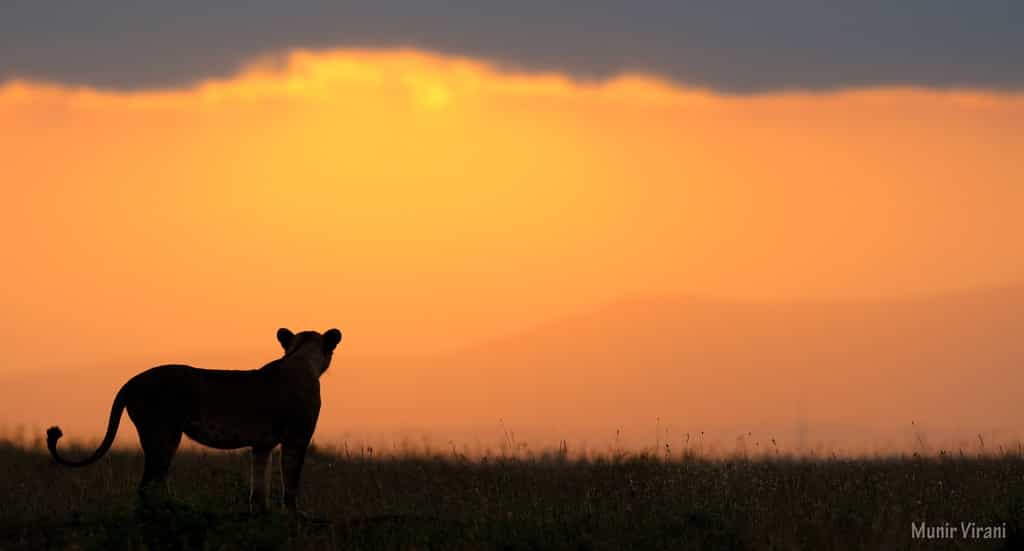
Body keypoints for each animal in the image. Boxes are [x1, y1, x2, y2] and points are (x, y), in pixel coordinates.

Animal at [46, 327, 342, 512]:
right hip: (163, 434)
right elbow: (291, 482)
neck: (302, 359)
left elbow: (259, 484)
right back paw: (171, 511)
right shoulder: (297, 437)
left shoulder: (262, 444)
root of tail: (132, 381)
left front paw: (260, 513)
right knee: (150, 483)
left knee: (151, 481)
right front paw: (294, 516)